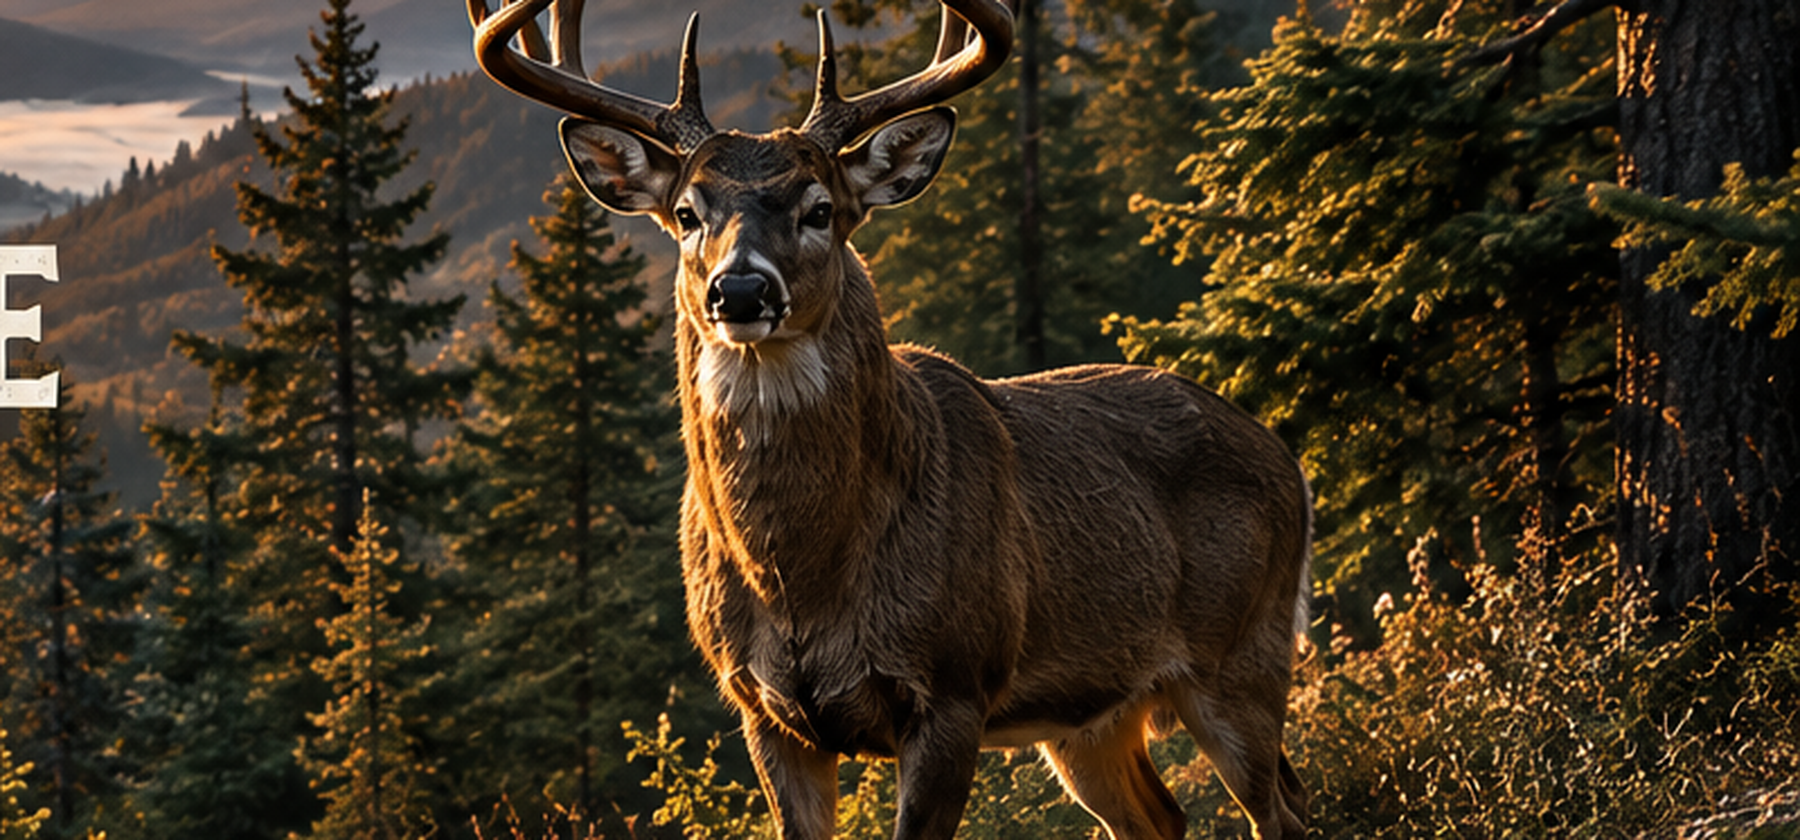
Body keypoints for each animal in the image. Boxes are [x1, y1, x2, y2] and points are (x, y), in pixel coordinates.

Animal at [469, 0, 1312, 836]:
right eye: (685, 212)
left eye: (820, 210)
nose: (740, 291)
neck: (803, 581)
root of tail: (1282, 453)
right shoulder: (763, 712)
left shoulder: (953, 687)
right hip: (1090, 716)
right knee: (1162, 815)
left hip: (1247, 655)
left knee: (1280, 810)